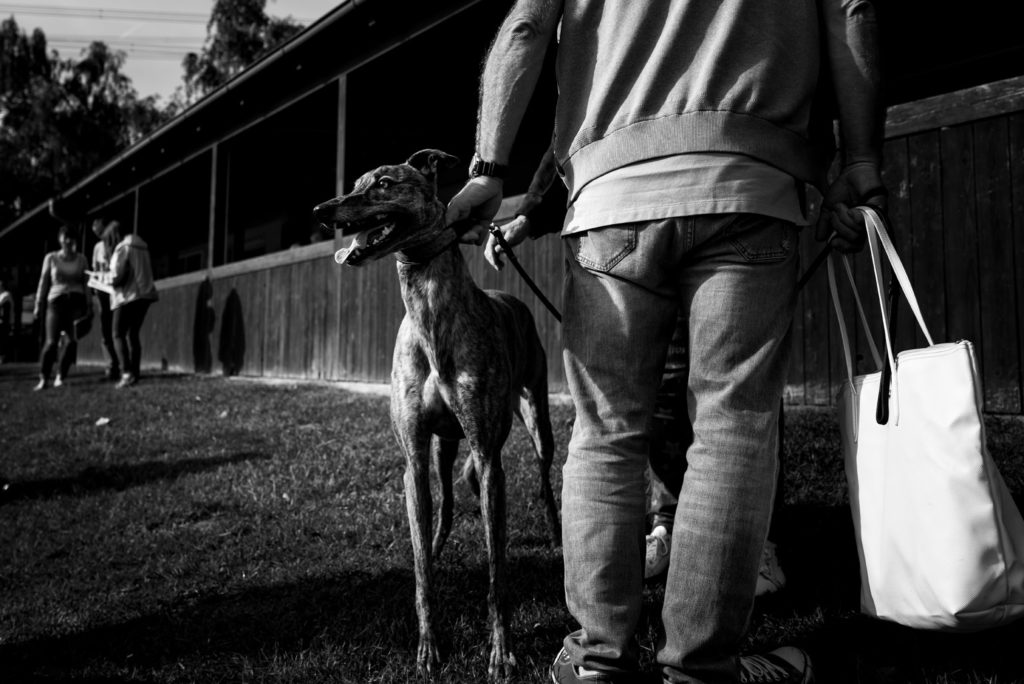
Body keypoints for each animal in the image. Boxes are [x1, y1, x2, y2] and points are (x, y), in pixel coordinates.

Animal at [315, 149, 565, 679]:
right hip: (444, 448)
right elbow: (423, 576)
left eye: (384, 183)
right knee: (447, 503)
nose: (321, 211)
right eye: (356, 183)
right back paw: (433, 543)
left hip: (535, 416)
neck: (430, 315)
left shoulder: (490, 460)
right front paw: (429, 646)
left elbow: (497, 574)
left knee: (543, 478)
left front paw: (501, 652)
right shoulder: (413, 458)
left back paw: (555, 530)